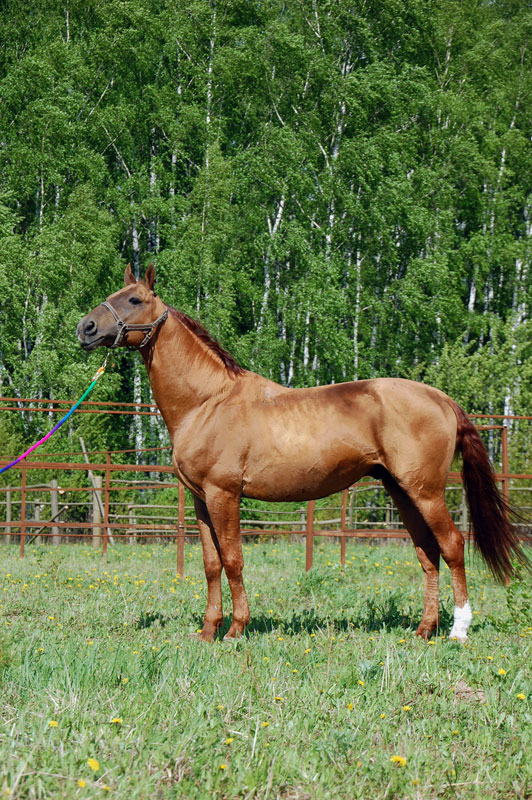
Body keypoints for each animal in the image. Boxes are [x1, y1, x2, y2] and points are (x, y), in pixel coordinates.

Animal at [78, 268, 524, 644]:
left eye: (134, 299)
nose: (86, 328)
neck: (208, 401)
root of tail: (442, 399)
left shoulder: (224, 495)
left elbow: (234, 560)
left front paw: (236, 630)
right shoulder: (201, 500)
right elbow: (211, 564)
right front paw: (207, 632)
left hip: (426, 491)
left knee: (451, 545)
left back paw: (458, 630)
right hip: (401, 491)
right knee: (427, 553)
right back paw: (423, 629)